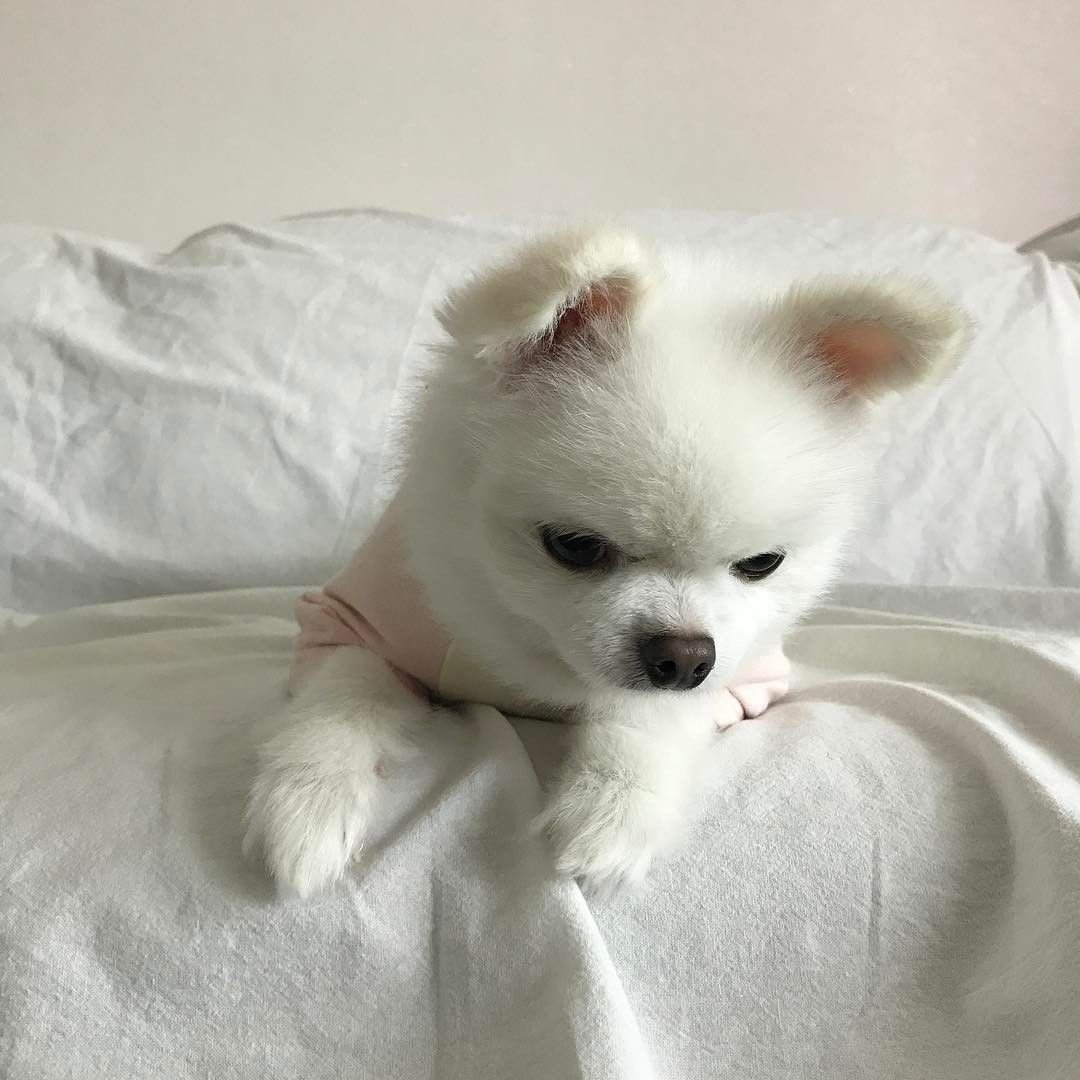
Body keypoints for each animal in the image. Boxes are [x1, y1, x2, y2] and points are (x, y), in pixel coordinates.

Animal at [244, 227, 968, 897]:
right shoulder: (349, 623)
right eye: (575, 546)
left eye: (762, 563)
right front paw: (306, 805)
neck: (535, 651)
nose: (682, 656)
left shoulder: (744, 677)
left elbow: (650, 714)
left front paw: (611, 811)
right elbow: (344, 694)